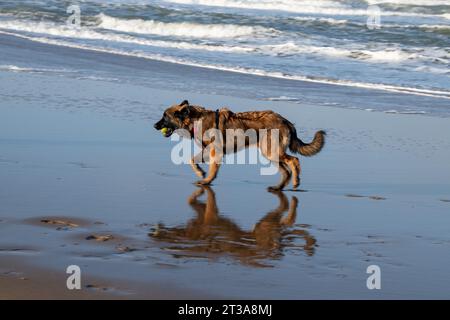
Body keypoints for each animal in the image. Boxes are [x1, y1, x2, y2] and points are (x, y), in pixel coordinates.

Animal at [155, 100, 324, 190]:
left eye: (165, 117)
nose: (154, 126)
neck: (195, 119)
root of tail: (286, 121)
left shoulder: (215, 152)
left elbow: (210, 168)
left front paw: (206, 180)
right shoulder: (207, 151)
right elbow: (192, 159)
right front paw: (201, 173)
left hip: (272, 152)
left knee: (294, 161)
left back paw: (296, 182)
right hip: (269, 154)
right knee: (286, 171)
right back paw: (278, 187)